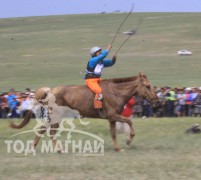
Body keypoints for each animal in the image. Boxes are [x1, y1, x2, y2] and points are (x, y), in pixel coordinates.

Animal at [10, 72, 159, 151]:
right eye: (147, 86)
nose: (157, 101)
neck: (116, 92)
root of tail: (51, 90)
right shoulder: (113, 115)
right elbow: (129, 121)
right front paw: (128, 141)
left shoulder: (111, 118)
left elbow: (113, 133)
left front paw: (117, 148)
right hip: (55, 116)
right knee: (46, 131)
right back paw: (47, 148)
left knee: (47, 131)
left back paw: (47, 148)